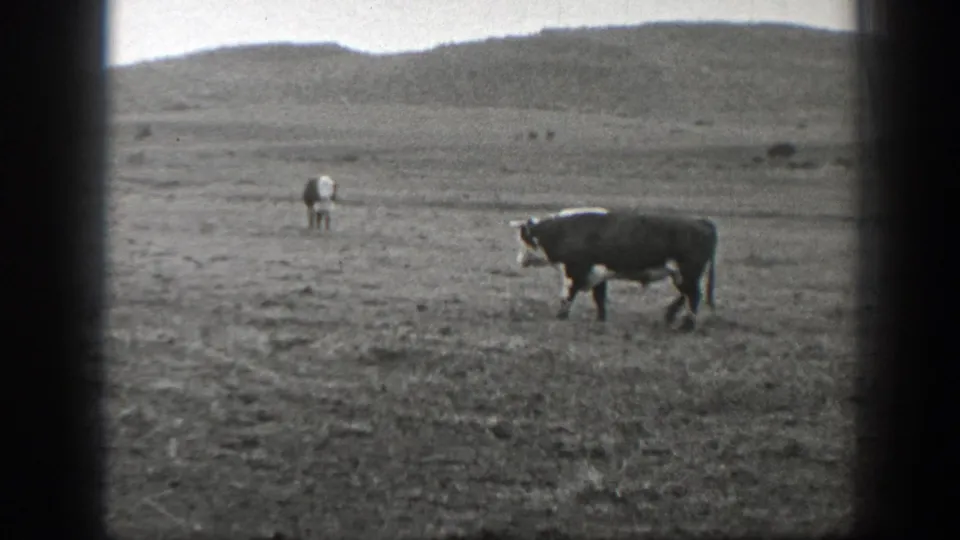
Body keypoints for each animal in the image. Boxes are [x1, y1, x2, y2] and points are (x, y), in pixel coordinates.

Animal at [508, 208, 717, 331]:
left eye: (523, 240)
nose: (519, 260)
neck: (563, 231)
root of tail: (702, 221)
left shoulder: (574, 271)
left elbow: (567, 296)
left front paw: (561, 316)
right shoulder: (598, 274)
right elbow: (599, 298)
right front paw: (601, 319)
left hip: (687, 273)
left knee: (693, 296)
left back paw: (686, 325)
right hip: (682, 275)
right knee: (686, 295)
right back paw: (670, 315)